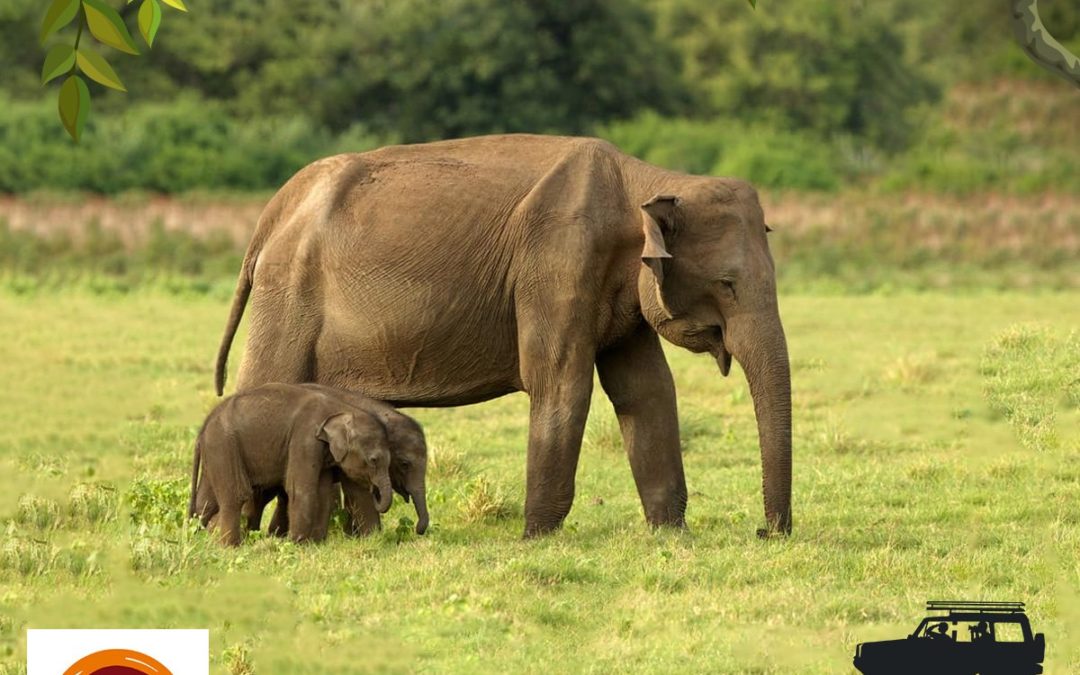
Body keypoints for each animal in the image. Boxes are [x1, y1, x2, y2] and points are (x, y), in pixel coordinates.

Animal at [188, 382, 395, 545]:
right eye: (373, 460)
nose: (375, 490)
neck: (340, 409)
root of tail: (202, 430)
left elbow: (332, 493)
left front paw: (316, 544)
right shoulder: (304, 438)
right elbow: (301, 490)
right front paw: (296, 544)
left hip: (216, 453)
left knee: (205, 501)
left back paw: (200, 539)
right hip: (224, 444)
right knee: (236, 495)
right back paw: (230, 547)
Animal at [214, 134, 792, 538]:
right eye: (728, 284)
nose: (765, 532)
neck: (645, 179)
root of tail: (275, 210)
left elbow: (645, 391)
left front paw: (671, 535)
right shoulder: (558, 262)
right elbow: (561, 385)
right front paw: (536, 539)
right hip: (288, 295)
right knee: (263, 385)